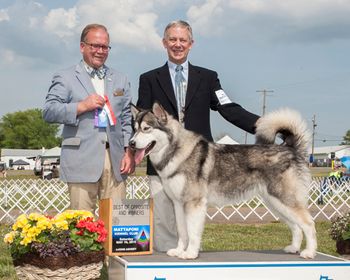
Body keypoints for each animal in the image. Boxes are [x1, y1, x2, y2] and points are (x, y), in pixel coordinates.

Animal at [131, 103, 318, 260]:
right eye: (134, 129)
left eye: (146, 129)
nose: (131, 143)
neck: (176, 151)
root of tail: (290, 148)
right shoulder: (178, 203)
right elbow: (182, 232)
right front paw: (178, 250)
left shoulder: (194, 203)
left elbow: (192, 232)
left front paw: (190, 253)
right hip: (276, 203)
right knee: (296, 226)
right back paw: (293, 248)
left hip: (284, 200)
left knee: (308, 224)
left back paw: (309, 252)